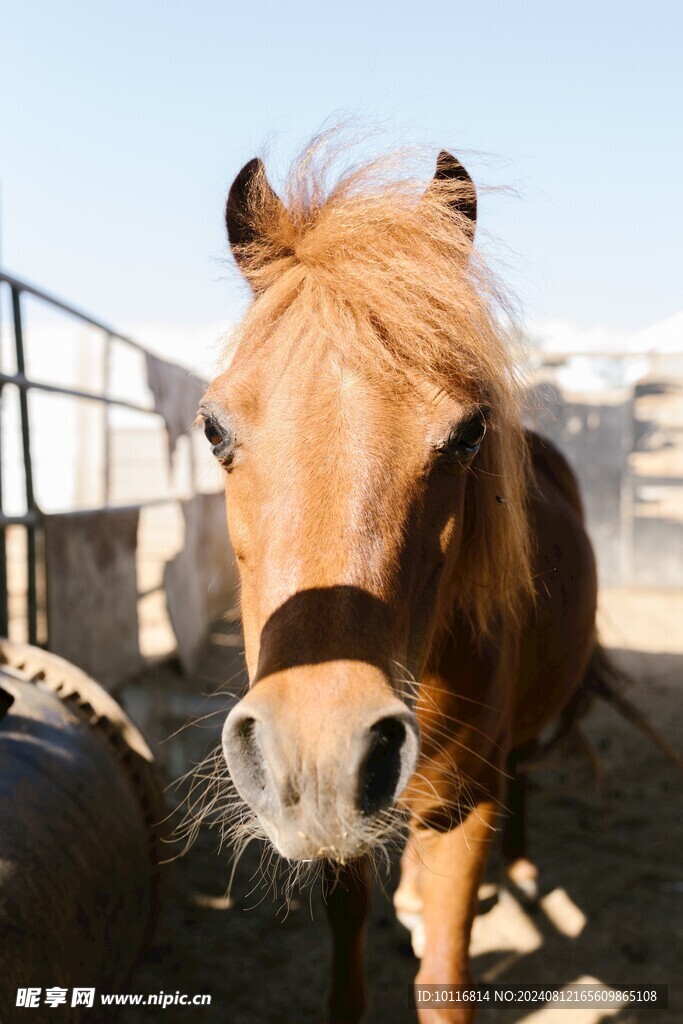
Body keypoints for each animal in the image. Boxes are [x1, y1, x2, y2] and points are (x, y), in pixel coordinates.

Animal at [198, 138, 598, 1024]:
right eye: (212, 428)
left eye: (468, 432)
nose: (316, 747)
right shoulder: (345, 821)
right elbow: (349, 922)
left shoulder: (462, 807)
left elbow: (444, 978)